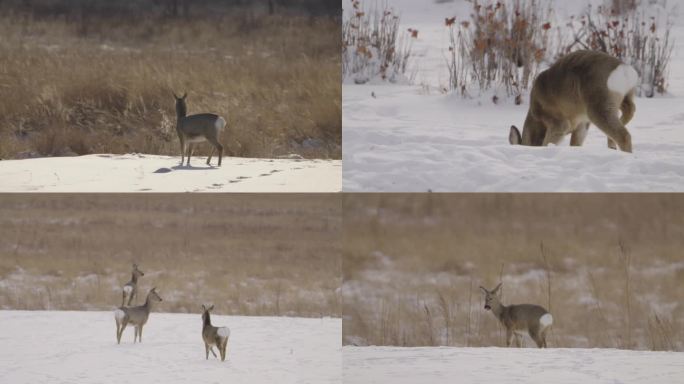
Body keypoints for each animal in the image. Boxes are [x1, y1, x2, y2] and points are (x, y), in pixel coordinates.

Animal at [510, 49, 640, 153]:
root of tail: (624, 70)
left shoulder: (557, 122)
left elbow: (547, 143)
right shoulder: (582, 123)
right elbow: (575, 143)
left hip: (599, 105)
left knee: (624, 135)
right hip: (625, 97)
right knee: (630, 110)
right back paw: (612, 146)